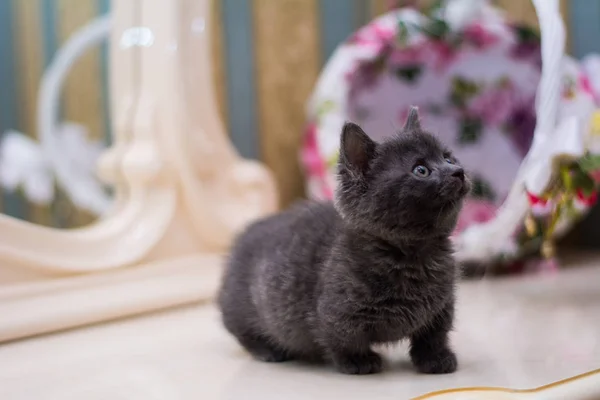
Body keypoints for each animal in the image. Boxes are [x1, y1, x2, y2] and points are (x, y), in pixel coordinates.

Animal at [218, 107, 472, 376]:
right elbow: (344, 339)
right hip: (241, 309)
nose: (458, 171)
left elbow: (434, 335)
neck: (415, 254)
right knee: (243, 333)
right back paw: (269, 350)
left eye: (447, 158)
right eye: (420, 170)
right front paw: (358, 361)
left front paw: (435, 358)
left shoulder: (442, 306)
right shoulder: (339, 313)